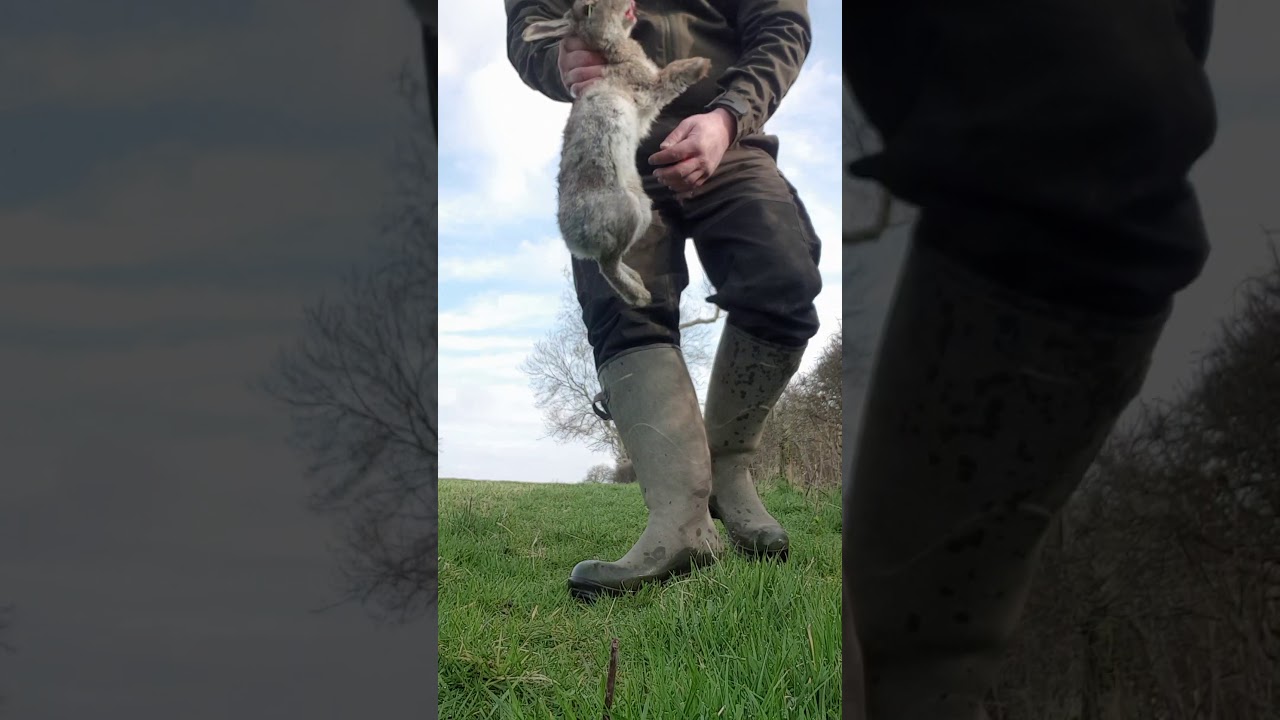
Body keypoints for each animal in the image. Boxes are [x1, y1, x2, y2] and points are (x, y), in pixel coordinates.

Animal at [523, 0, 712, 307]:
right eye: (588, 9)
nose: (630, 3)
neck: (614, 53)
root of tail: (572, 239)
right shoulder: (647, 86)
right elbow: (670, 74)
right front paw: (700, 65)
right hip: (626, 213)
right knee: (606, 265)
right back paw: (640, 296)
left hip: (643, 211)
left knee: (615, 260)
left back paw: (636, 279)